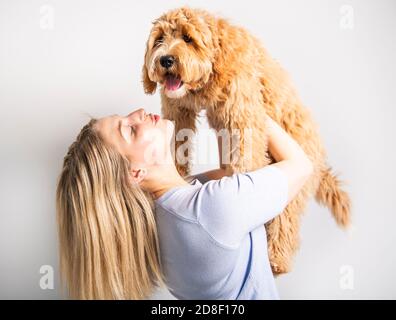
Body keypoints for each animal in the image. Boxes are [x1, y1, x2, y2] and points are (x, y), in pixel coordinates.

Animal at [142, 6, 350, 274]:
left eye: (188, 38)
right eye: (159, 39)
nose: (165, 60)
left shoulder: (244, 116)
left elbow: (246, 159)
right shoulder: (177, 110)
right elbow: (176, 140)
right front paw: (178, 172)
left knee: (287, 217)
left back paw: (277, 258)